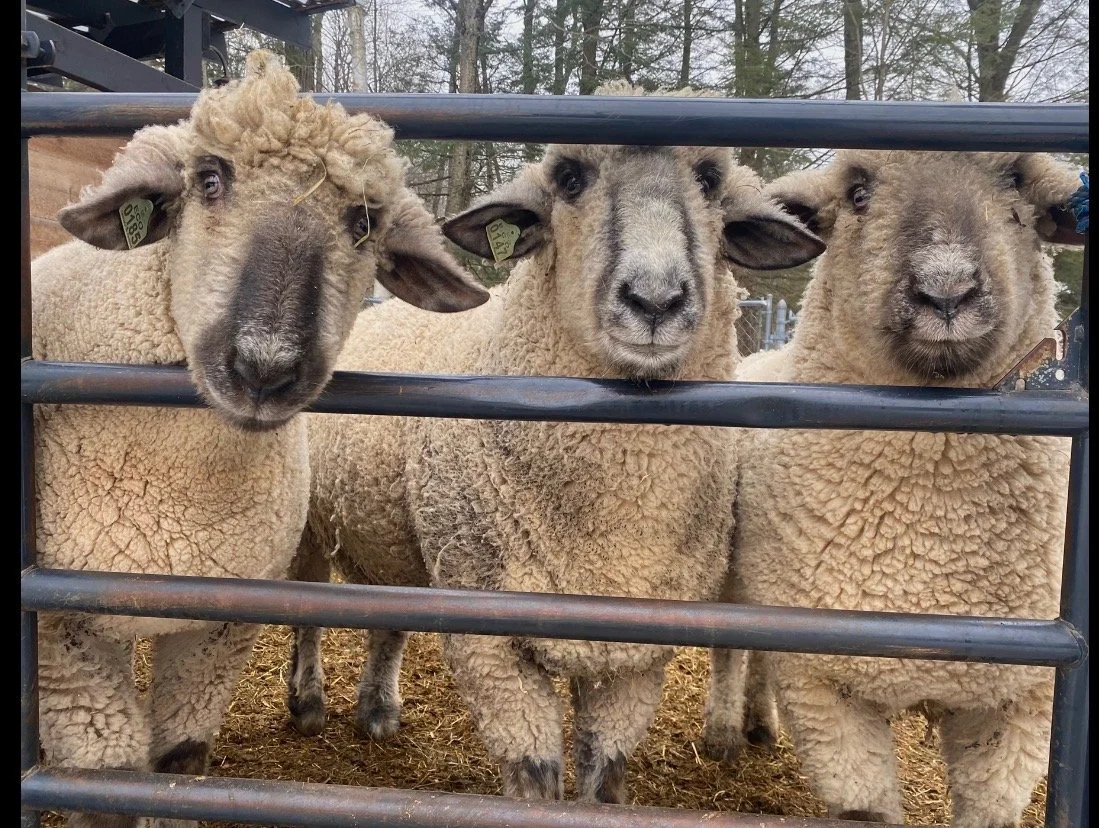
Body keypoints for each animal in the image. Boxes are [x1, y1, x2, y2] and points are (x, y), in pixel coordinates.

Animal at [30, 50, 486, 828]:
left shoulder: (219, 625)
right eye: (209, 179)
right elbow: (103, 787)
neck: (171, 493)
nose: (265, 368)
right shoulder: (63, 633)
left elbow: (175, 767)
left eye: (363, 221)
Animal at [284, 80, 825, 803]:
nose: (655, 300)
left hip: (399, 533)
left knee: (389, 618)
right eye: (569, 179)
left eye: (710, 181)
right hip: (317, 524)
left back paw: (377, 711)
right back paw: (308, 704)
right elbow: (534, 781)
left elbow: (602, 778)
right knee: (308, 609)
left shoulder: (635, 652)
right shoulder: (490, 641)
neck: (618, 511)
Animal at [700, 150, 1085, 827]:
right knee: (730, 649)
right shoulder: (828, 688)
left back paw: (759, 723)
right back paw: (724, 731)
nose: (947, 289)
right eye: (858, 192)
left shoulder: (1021, 701)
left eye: (1016, 181)